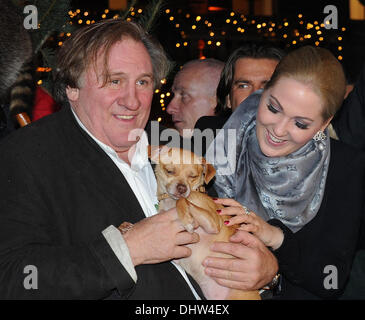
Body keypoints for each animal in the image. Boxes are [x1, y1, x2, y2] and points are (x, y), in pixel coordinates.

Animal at [148, 146, 258, 300]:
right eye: (170, 171)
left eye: (192, 176)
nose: (182, 188)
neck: (170, 203)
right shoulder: (178, 256)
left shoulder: (212, 223)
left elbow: (183, 200)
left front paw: (186, 219)